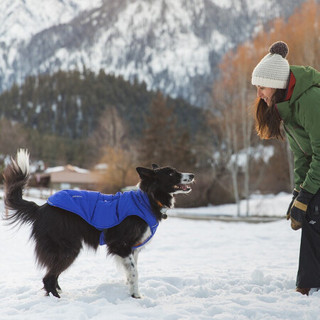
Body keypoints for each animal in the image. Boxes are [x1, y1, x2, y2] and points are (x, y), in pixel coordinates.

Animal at [3, 149, 195, 298]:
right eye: (171, 173)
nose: (192, 175)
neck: (148, 199)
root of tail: (41, 208)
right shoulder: (120, 244)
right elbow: (134, 272)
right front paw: (136, 296)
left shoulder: (134, 248)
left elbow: (131, 271)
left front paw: (131, 291)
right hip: (67, 249)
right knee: (48, 278)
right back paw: (57, 299)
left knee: (52, 276)